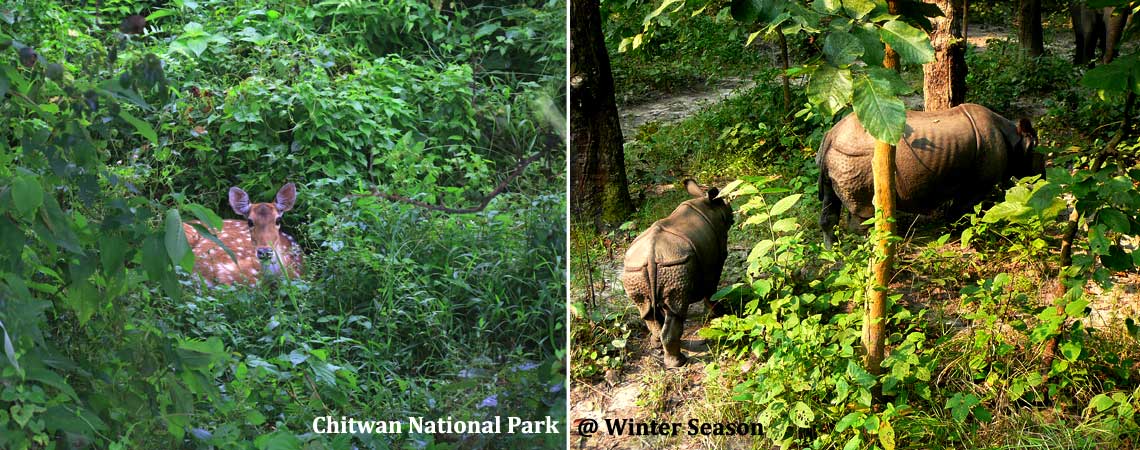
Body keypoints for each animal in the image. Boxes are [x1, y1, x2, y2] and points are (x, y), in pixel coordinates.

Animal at [620, 177, 734, 369]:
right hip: (674, 265)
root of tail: (651, 254)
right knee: (676, 311)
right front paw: (719, 314)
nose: (733, 217)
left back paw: (657, 346)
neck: (707, 203)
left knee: (647, 310)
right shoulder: (716, 260)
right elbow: (712, 290)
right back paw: (679, 362)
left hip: (636, 269)